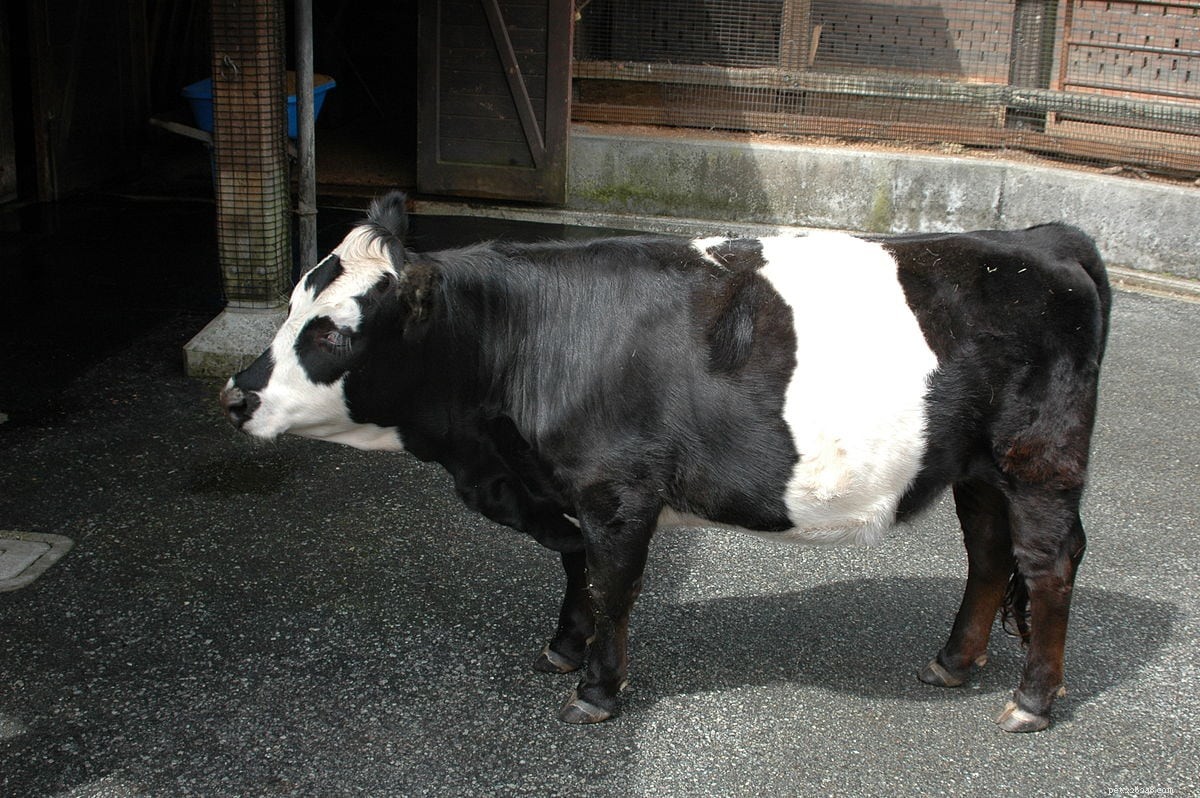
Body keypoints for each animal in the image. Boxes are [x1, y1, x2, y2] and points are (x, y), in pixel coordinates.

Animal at [220, 191, 1110, 733]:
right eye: (292, 305)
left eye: (331, 331)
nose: (234, 394)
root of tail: (1041, 238)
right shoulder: (560, 489)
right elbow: (576, 564)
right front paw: (565, 647)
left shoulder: (619, 491)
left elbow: (613, 584)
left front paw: (596, 691)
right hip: (979, 466)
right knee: (990, 553)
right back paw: (952, 665)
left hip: (1038, 459)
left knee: (1048, 561)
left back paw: (1032, 700)